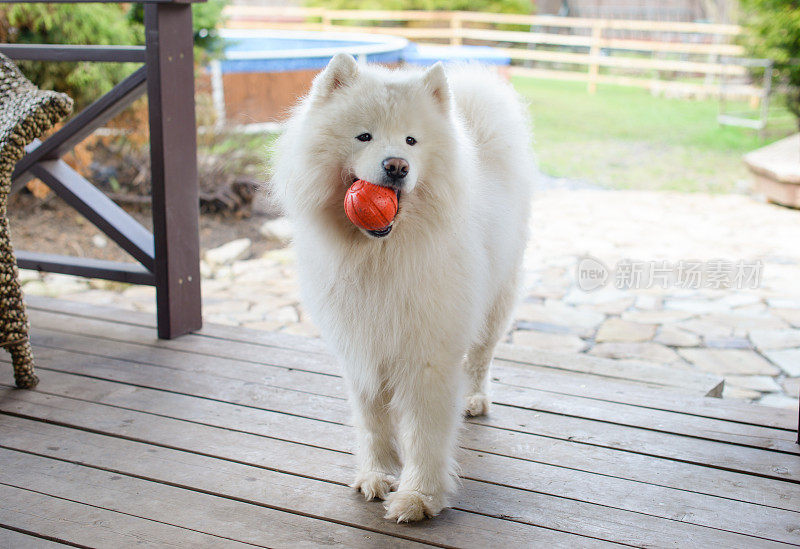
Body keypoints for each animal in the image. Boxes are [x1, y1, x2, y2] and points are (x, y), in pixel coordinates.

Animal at [272, 55, 536, 524]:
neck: (380, 255)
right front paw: (376, 476)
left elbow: (425, 434)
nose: (397, 165)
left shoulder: (427, 353)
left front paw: (418, 498)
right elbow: (373, 423)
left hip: (495, 304)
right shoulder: (361, 346)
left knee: (480, 358)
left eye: (412, 141)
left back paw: (473, 399)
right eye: (364, 136)